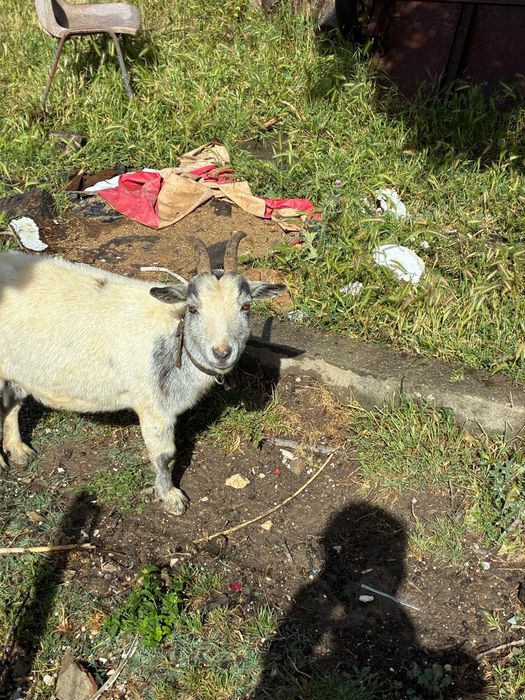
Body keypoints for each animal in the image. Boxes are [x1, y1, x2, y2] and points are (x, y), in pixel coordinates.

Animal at [0, 232, 284, 514]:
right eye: (193, 309)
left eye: (246, 307)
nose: (222, 352)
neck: (175, 337)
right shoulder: (153, 407)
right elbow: (165, 456)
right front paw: (171, 498)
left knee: (11, 404)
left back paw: (19, 451)